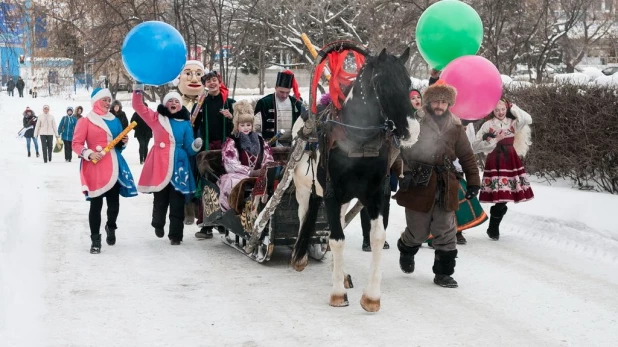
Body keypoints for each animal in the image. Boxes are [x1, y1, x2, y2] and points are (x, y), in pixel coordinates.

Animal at [290, 47, 416, 312]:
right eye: (381, 84)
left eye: (408, 82)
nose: (412, 130)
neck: (358, 141)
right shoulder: (331, 193)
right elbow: (337, 239)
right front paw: (337, 293)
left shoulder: (376, 194)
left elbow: (376, 237)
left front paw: (372, 297)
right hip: (303, 189)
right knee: (303, 216)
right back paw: (302, 257)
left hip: (346, 199)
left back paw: (340, 272)